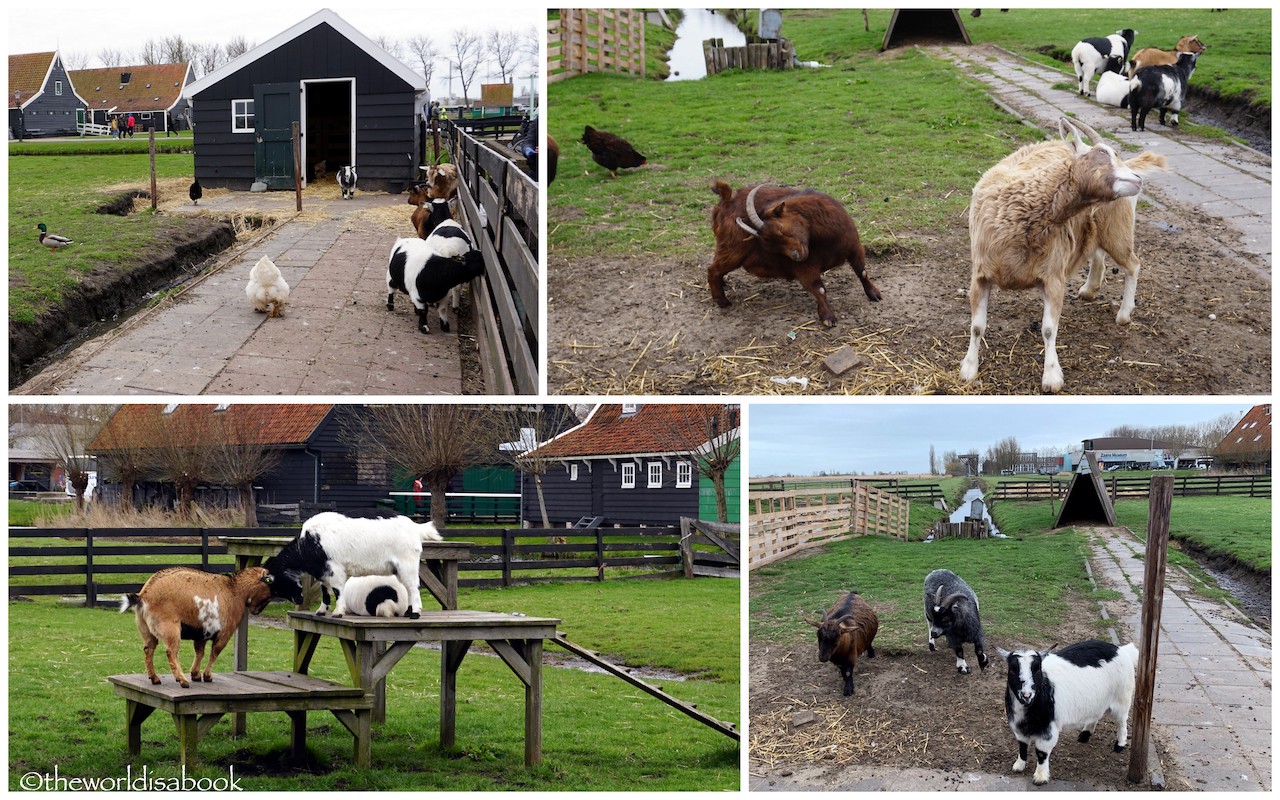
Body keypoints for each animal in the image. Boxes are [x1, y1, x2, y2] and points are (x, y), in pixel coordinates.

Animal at [120, 560, 272, 686]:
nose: (257, 611)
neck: (235, 589)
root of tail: (144, 595)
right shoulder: (225, 632)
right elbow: (215, 652)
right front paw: (207, 675)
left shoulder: (202, 631)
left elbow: (200, 652)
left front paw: (196, 675)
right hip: (170, 627)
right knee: (171, 651)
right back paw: (182, 680)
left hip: (145, 629)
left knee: (148, 649)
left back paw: (155, 678)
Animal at [711, 183, 880, 326]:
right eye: (769, 244)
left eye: (780, 228)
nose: (796, 256)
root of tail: (727, 198)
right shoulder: (805, 267)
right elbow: (819, 289)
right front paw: (828, 317)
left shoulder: (854, 248)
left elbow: (862, 272)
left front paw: (875, 294)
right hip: (732, 251)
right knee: (713, 270)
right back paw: (722, 301)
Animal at [962, 117, 1167, 391]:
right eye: (1103, 153)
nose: (1136, 180)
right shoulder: (980, 275)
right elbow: (977, 326)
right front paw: (968, 369)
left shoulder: (1053, 277)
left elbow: (1049, 330)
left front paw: (1051, 376)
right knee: (1098, 255)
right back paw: (1089, 289)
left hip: (1117, 231)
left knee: (1133, 265)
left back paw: (1123, 315)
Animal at [993, 640, 1136, 783]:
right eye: (1012, 669)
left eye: (1037, 668)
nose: (1026, 694)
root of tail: (1121, 650)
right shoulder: (1019, 728)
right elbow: (1022, 746)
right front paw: (1019, 766)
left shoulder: (1048, 730)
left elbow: (1041, 753)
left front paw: (1040, 777)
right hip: (1098, 701)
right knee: (1096, 715)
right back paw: (1085, 734)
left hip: (1122, 698)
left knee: (1121, 722)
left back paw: (1120, 745)